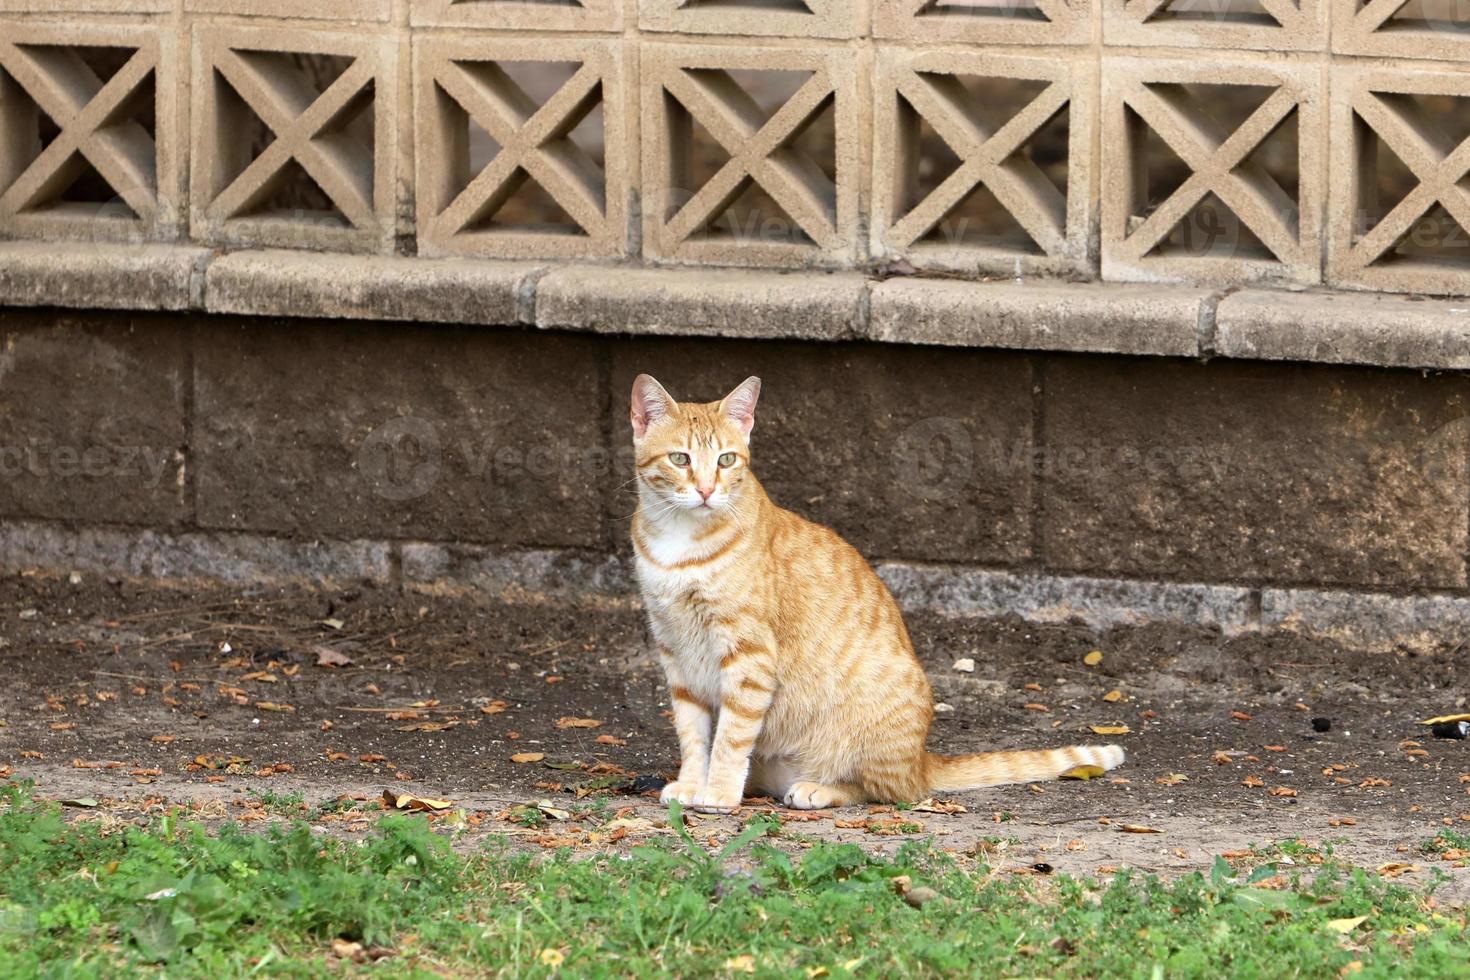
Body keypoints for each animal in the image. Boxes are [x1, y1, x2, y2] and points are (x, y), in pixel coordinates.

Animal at [632, 376, 1123, 811]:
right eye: (680, 458)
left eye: (727, 460)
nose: (706, 490)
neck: (681, 540)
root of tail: (922, 760)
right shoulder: (675, 651)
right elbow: (694, 734)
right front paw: (692, 782)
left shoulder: (749, 654)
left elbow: (731, 737)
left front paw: (717, 791)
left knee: (887, 791)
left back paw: (819, 788)